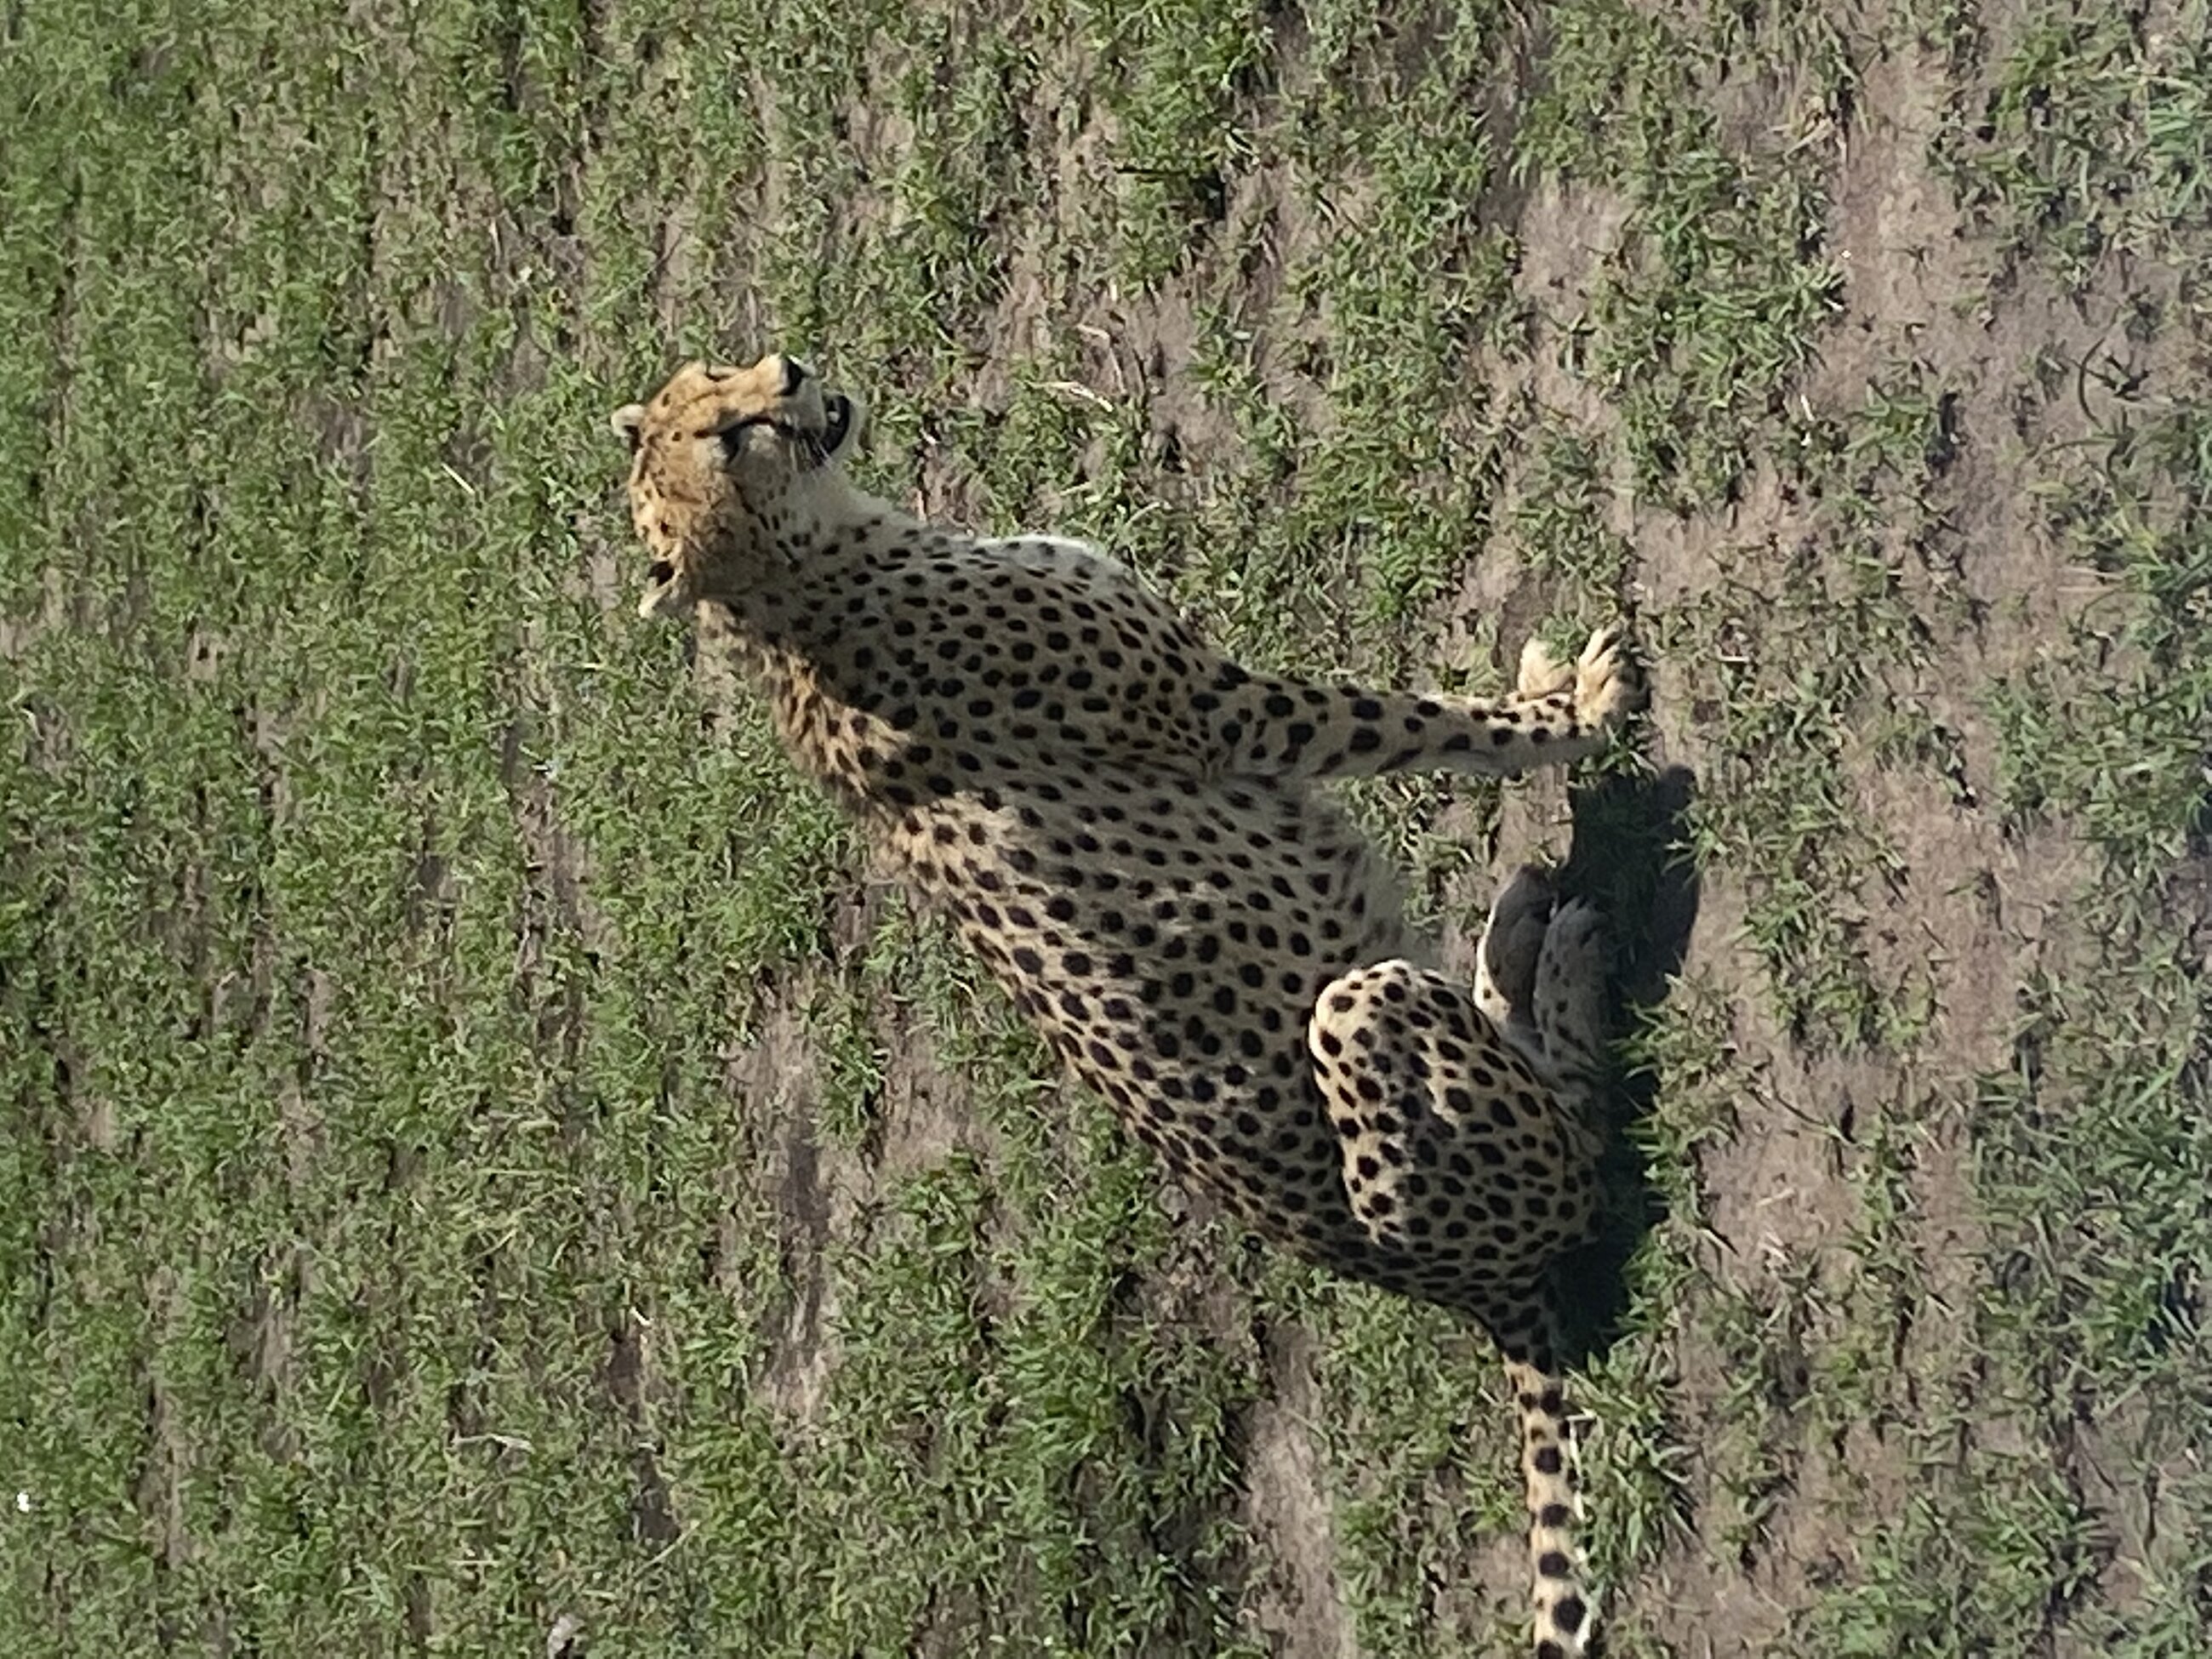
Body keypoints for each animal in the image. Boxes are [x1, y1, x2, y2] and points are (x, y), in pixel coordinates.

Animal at [611, 351, 1643, 1659]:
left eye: (715, 377)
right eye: (729, 437)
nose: (792, 370)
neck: (812, 575)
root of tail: (1465, 1293)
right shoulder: (1223, 713)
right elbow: (1419, 720)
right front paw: (1571, 717)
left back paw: (1516, 947)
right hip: (1359, 1017)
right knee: (1583, 1151)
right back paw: (1564, 968)